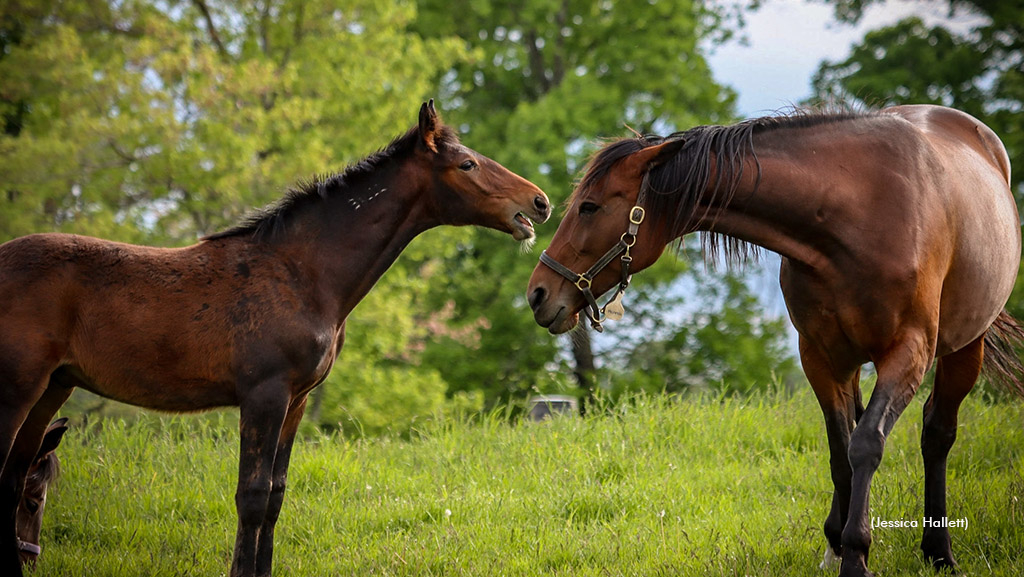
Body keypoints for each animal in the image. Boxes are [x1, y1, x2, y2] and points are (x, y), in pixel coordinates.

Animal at [532, 105, 1019, 577]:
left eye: (590, 207)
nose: (537, 292)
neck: (859, 215)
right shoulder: (821, 358)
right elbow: (840, 452)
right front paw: (838, 548)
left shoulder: (908, 354)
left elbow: (866, 445)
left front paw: (857, 556)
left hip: (965, 348)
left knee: (936, 434)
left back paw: (939, 551)